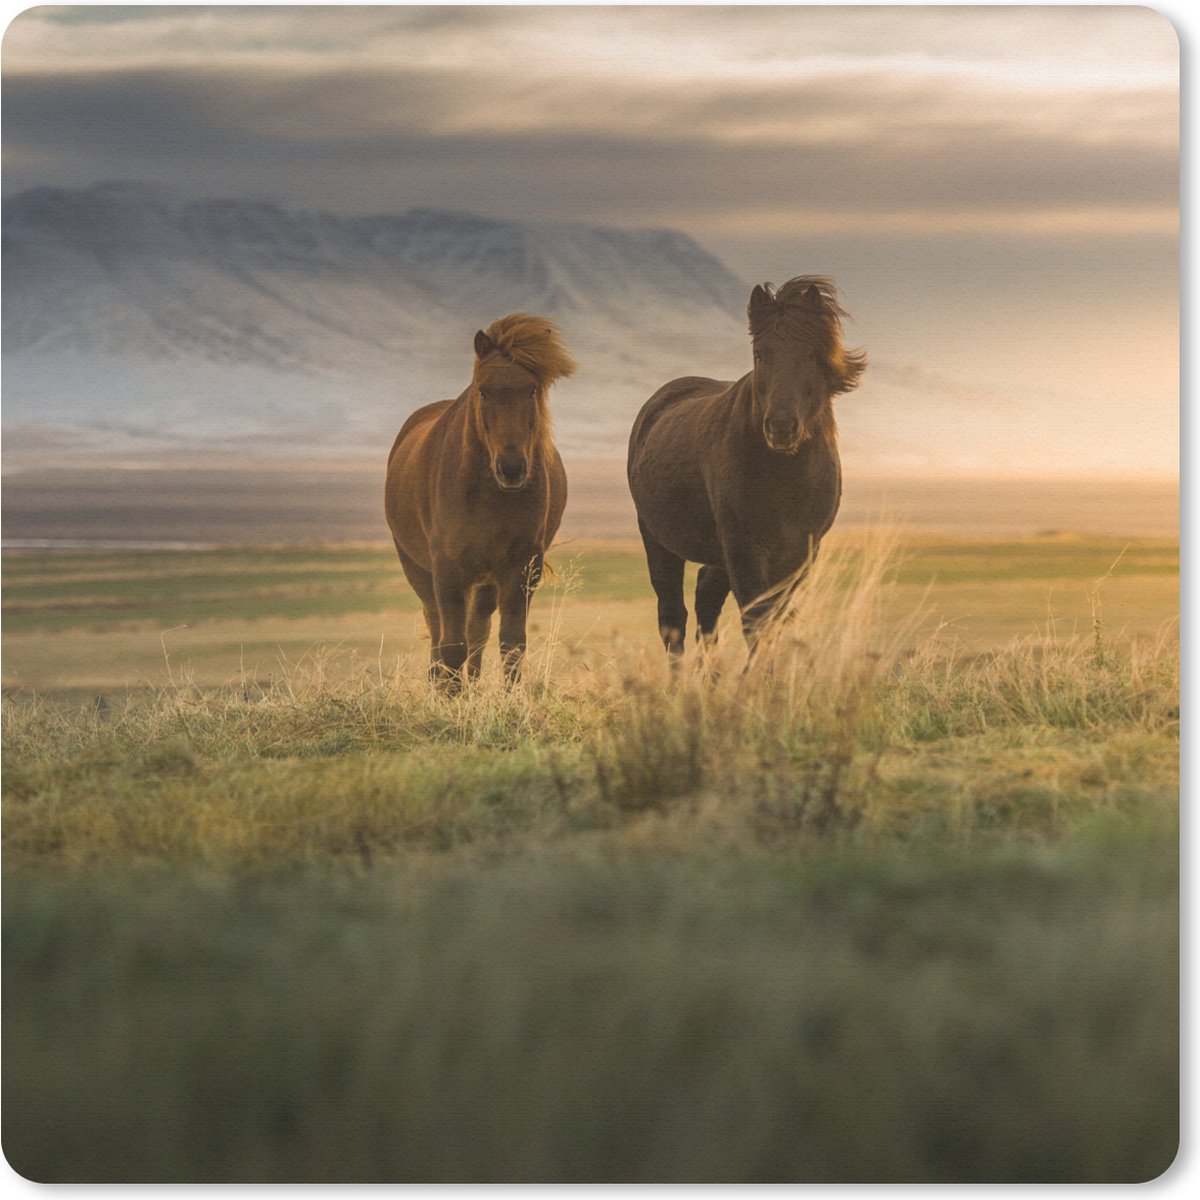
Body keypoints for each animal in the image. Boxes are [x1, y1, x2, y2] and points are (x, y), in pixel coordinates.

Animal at [384, 314, 576, 690]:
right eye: (483, 390)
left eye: (532, 389)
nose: (512, 468)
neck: (489, 497)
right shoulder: (447, 570)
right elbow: (451, 645)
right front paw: (449, 697)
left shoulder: (520, 569)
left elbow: (510, 644)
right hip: (418, 569)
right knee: (437, 628)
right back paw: (439, 684)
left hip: (486, 580)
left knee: (478, 630)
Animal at [626, 276, 866, 665]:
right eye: (759, 354)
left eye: (811, 355)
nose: (781, 427)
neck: (785, 477)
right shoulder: (745, 549)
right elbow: (757, 620)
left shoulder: (801, 554)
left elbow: (775, 620)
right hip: (658, 540)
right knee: (673, 616)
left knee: (705, 600)